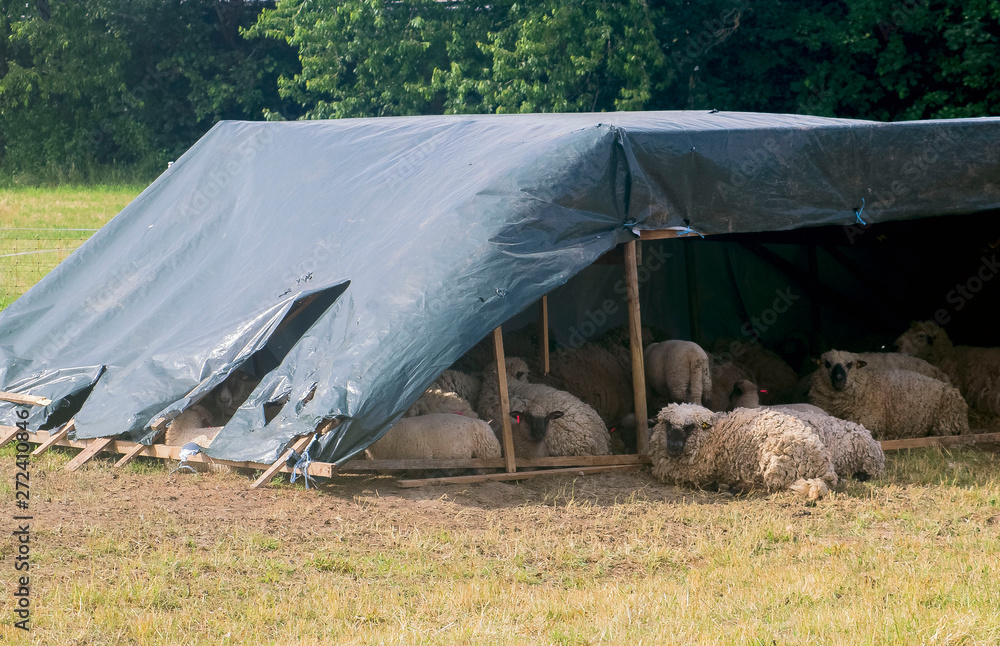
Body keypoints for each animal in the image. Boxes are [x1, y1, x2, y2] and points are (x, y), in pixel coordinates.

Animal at [649, 403, 838, 501]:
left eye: (689, 427)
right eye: (667, 424)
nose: (673, 446)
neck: (713, 434)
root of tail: (825, 472)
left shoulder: (695, 471)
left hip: (775, 466)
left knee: (768, 487)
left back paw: (732, 487)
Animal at [808, 349, 969, 440]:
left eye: (850, 364)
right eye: (827, 364)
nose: (839, 379)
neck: (867, 385)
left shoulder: (870, 423)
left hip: (947, 421)